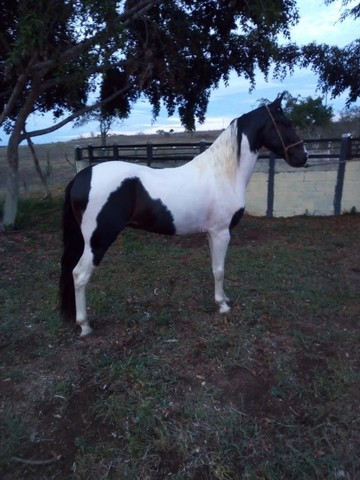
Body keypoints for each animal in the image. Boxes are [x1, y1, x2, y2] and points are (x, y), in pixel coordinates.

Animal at [59, 93, 306, 334]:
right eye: (285, 122)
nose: (302, 156)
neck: (223, 174)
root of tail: (81, 177)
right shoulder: (221, 233)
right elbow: (219, 270)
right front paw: (222, 305)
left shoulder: (212, 233)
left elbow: (214, 268)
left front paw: (224, 298)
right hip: (98, 241)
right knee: (79, 275)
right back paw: (84, 324)